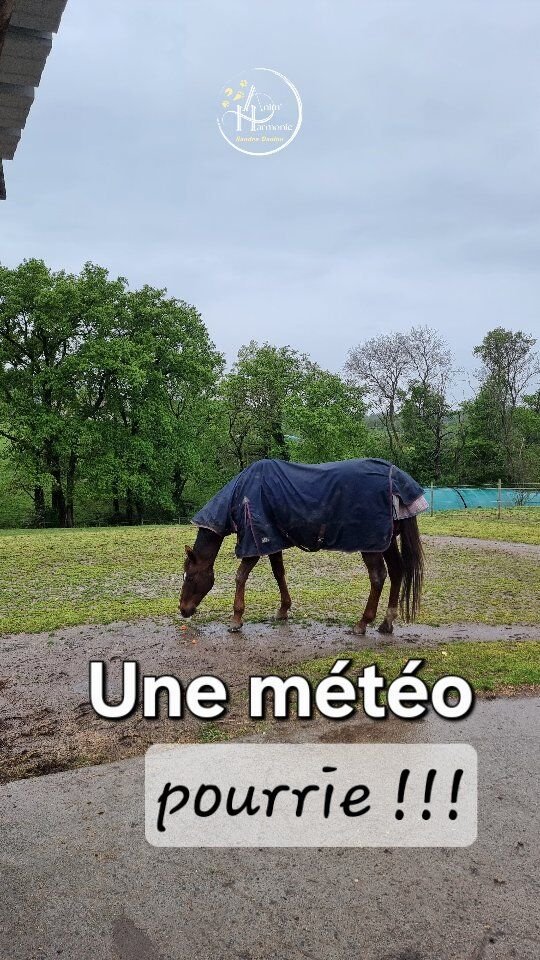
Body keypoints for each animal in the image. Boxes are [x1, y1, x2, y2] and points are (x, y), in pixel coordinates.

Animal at [179, 457, 426, 636]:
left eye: (189, 577)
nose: (183, 610)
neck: (241, 494)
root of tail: (396, 480)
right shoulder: (273, 542)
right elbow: (279, 573)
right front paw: (283, 609)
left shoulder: (254, 544)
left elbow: (240, 576)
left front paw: (236, 619)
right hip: (386, 541)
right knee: (396, 571)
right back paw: (386, 623)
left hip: (370, 544)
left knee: (378, 577)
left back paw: (363, 623)